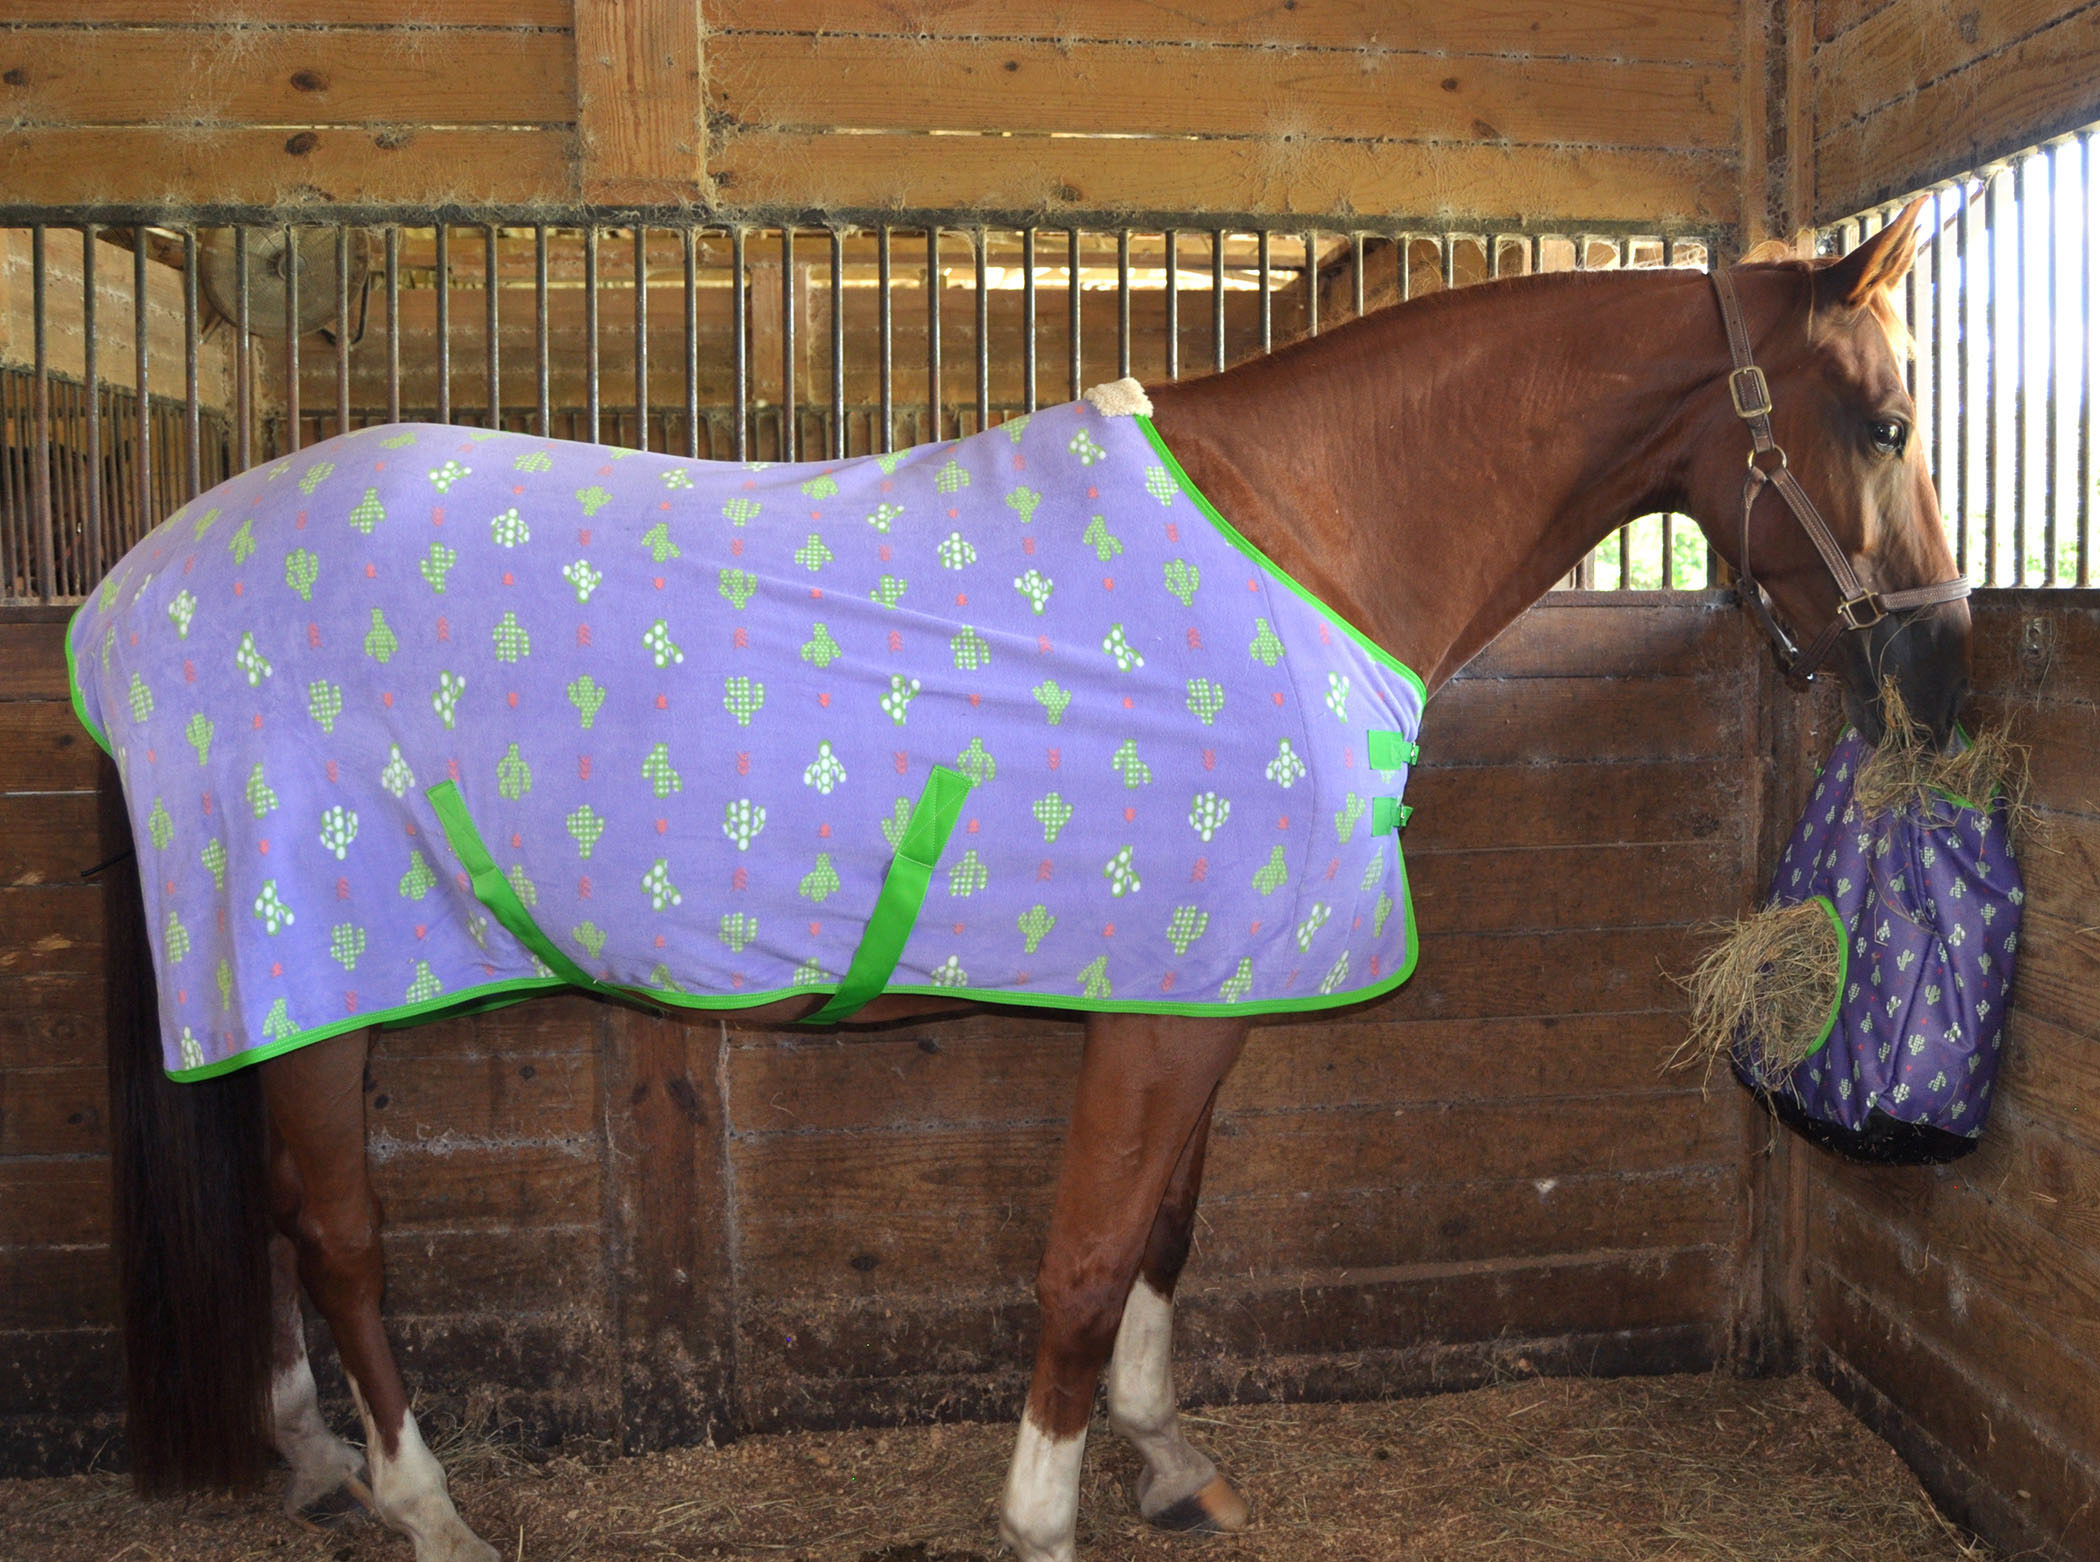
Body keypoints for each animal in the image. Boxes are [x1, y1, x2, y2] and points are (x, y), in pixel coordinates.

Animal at [90, 197, 1967, 1562]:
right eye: (1882, 420)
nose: (1943, 675)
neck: (1301, 530)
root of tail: (138, 591)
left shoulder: (1203, 990)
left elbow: (1165, 1237)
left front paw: (1168, 1457)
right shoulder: (1158, 1016)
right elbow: (1083, 1253)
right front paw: (1044, 1510)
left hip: (274, 987)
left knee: (275, 1215)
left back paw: (316, 1459)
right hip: (319, 962)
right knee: (339, 1234)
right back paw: (428, 1508)